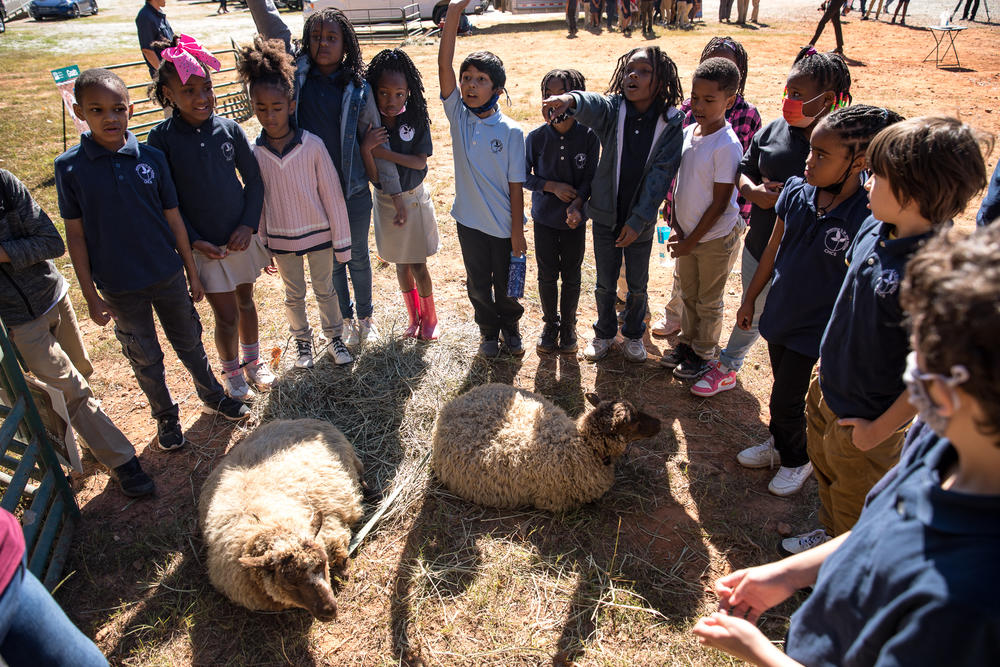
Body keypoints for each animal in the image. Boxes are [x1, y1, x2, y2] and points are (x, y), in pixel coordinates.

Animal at [197, 420, 366, 624]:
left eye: (322, 564)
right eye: (290, 583)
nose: (330, 611)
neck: (264, 524)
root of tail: (300, 420)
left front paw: (344, 570)